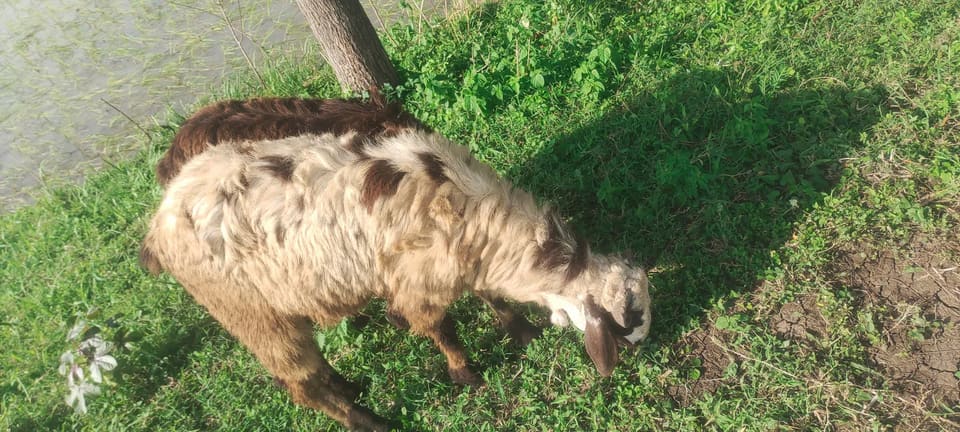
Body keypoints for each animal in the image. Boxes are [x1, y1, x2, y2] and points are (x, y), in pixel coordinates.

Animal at [141, 101, 651, 431]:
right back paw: (368, 421)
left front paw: (521, 330)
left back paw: (348, 386)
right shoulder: (420, 279)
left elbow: (487, 293)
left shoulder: (460, 261)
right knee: (299, 384)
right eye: (628, 325)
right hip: (249, 310)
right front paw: (467, 375)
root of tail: (159, 224)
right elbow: (441, 328)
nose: (643, 350)